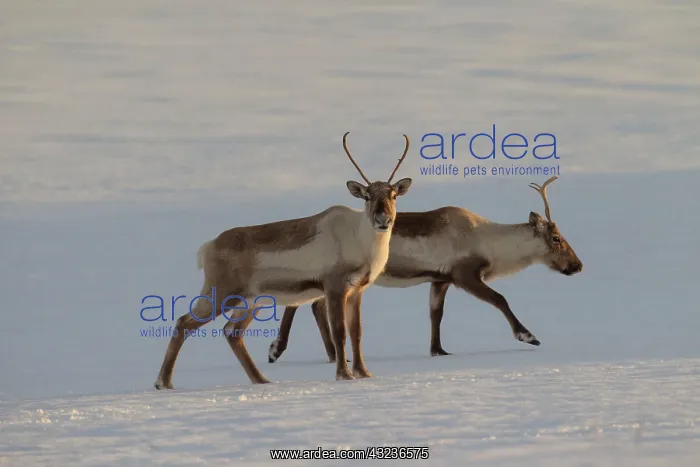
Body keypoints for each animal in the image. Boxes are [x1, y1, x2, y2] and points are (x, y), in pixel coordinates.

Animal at [153, 132, 413, 389]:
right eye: (367, 196)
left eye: (393, 195)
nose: (383, 220)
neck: (360, 239)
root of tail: (208, 246)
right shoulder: (334, 288)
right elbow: (340, 333)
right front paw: (344, 374)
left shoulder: (357, 290)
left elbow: (356, 333)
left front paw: (364, 373)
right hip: (221, 293)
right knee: (184, 322)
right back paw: (163, 382)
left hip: (251, 301)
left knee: (232, 332)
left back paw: (261, 379)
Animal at [267, 176, 583, 364]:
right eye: (556, 238)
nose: (578, 265)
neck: (490, 243)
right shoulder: (464, 273)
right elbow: (500, 299)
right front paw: (528, 335)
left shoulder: (440, 279)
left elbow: (436, 314)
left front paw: (438, 350)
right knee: (301, 302)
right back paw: (278, 349)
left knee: (312, 304)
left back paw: (331, 354)